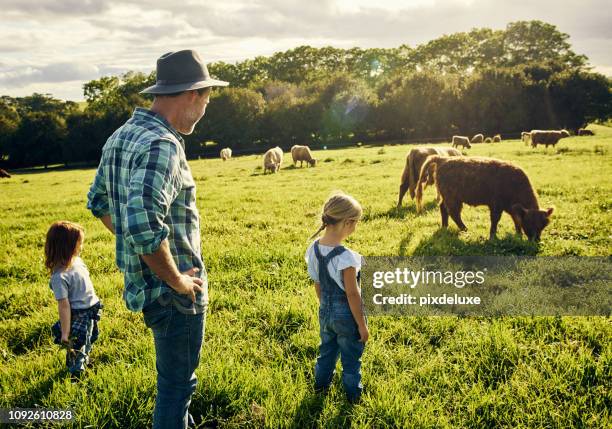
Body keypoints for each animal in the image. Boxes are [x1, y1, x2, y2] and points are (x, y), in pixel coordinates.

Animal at [416, 155, 556, 241]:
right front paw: (493, 236)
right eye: (529, 223)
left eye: (543, 225)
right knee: (454, 213)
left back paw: (445, 227)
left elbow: (516, 220)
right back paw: (466, 229)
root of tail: (442, 159)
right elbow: (495, 220)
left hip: (449, 197)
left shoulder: (510, 208)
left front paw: (518, 235)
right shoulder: (496, 205)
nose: (536, 240)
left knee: (443, 208)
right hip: (453, 198)